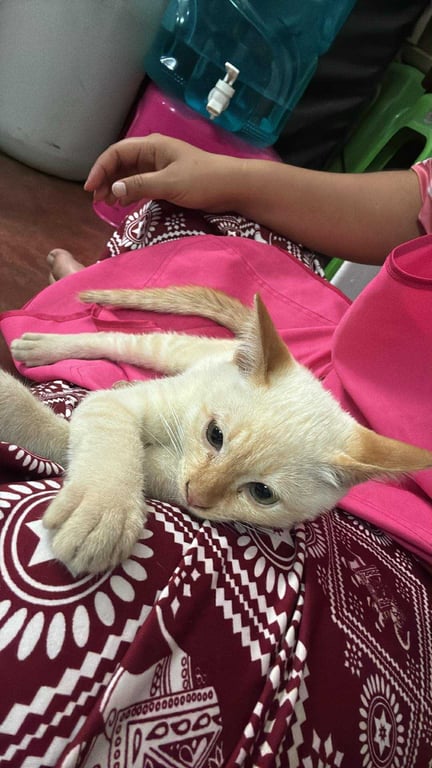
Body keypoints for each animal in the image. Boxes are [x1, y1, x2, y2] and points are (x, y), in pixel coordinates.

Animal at [1, 284, 431, 576]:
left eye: (262, 493)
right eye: (215, 436)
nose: (197, 494)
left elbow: (151, 465)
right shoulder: (116, 407)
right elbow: (107, 436)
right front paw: (103, 512)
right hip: (166, 351)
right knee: (114, 339)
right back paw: (41, 346)